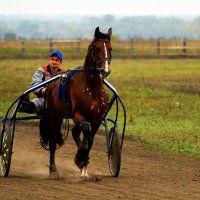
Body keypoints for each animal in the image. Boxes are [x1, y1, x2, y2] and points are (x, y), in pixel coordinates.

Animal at [45, 27, 112, 179]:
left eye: (110, 48)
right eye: (97, 48)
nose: (104, 71)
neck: (91, 88)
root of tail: (52, 82)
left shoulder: (96, 119)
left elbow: (90, 140)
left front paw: (84, 167)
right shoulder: (78, 114)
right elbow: (86, 134)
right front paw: (80, 157)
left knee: (75, 131)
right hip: (53, 115)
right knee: (52, 142)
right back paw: (53, 170)